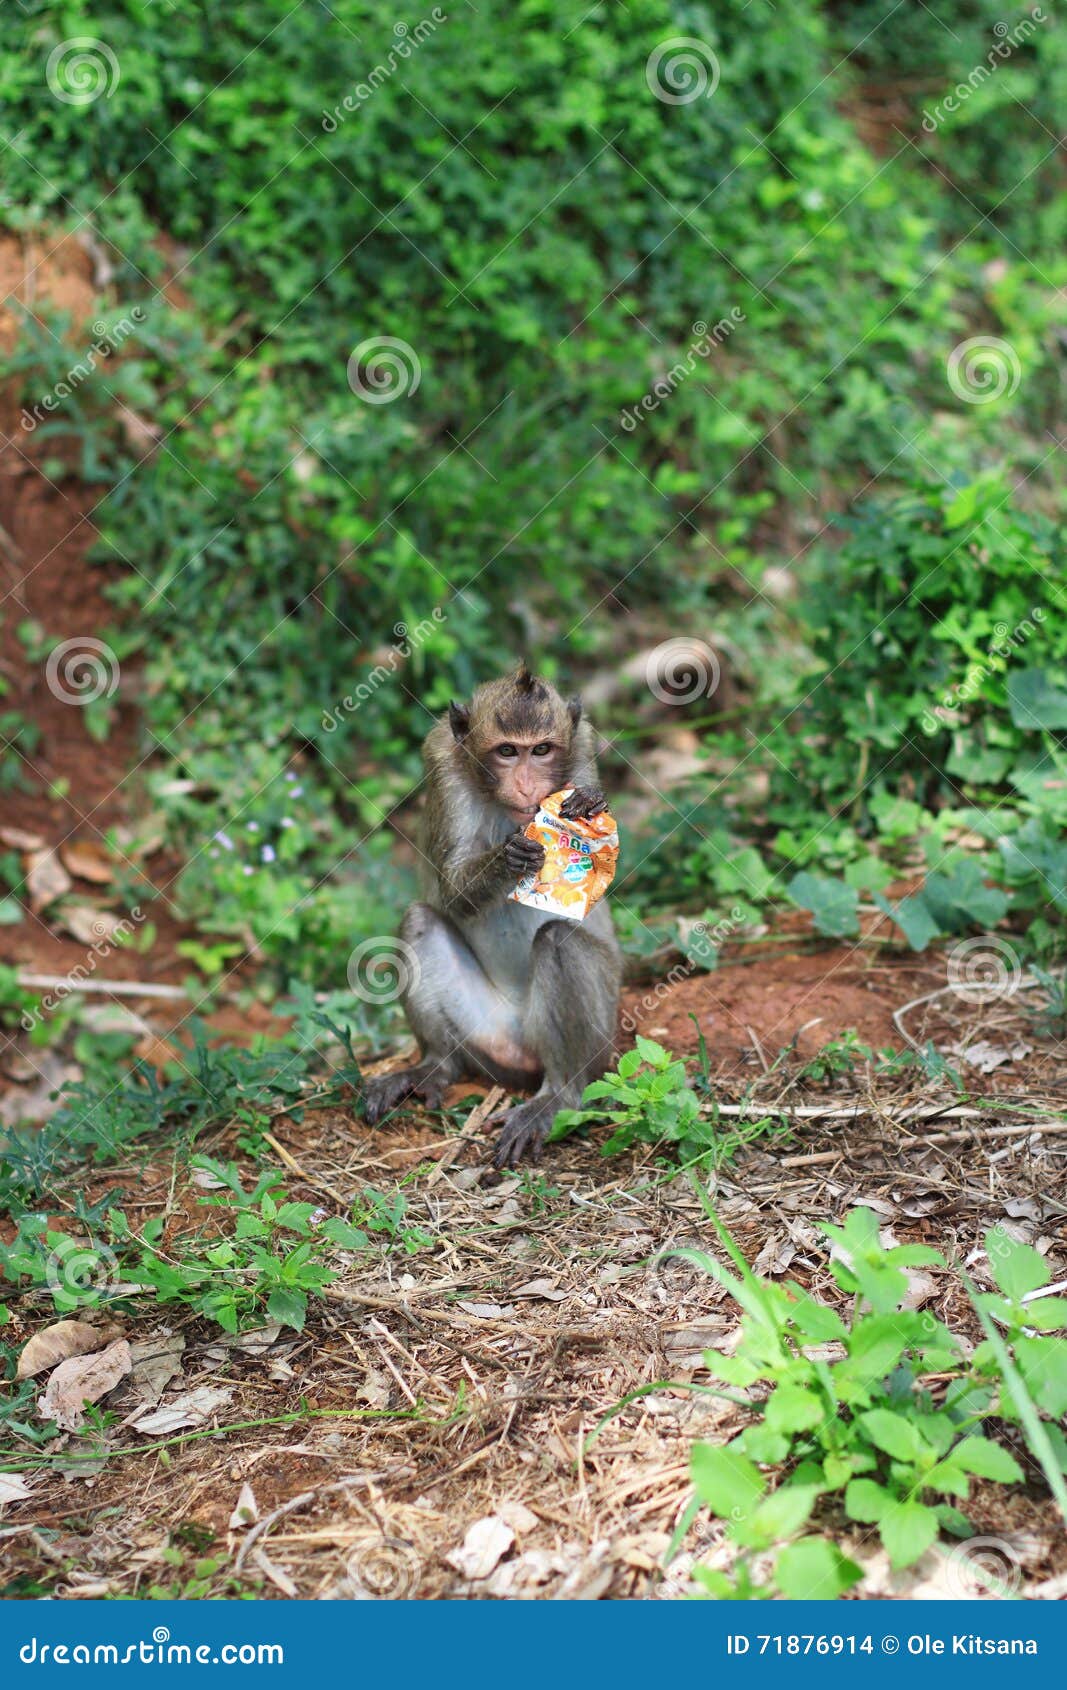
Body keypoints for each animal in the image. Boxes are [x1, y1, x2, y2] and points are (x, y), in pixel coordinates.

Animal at [360, 664, 621, 1167]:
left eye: (541, 750)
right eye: (506, 751)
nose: (525, 785)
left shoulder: (582, 744)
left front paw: (589, 805)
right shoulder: (442, 763)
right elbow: (451, 890)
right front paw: (510, 857)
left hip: (604, 1037)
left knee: (557, 940)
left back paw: (557, 1095)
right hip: (483, 1037)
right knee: (419, 920)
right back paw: (434, 1066)